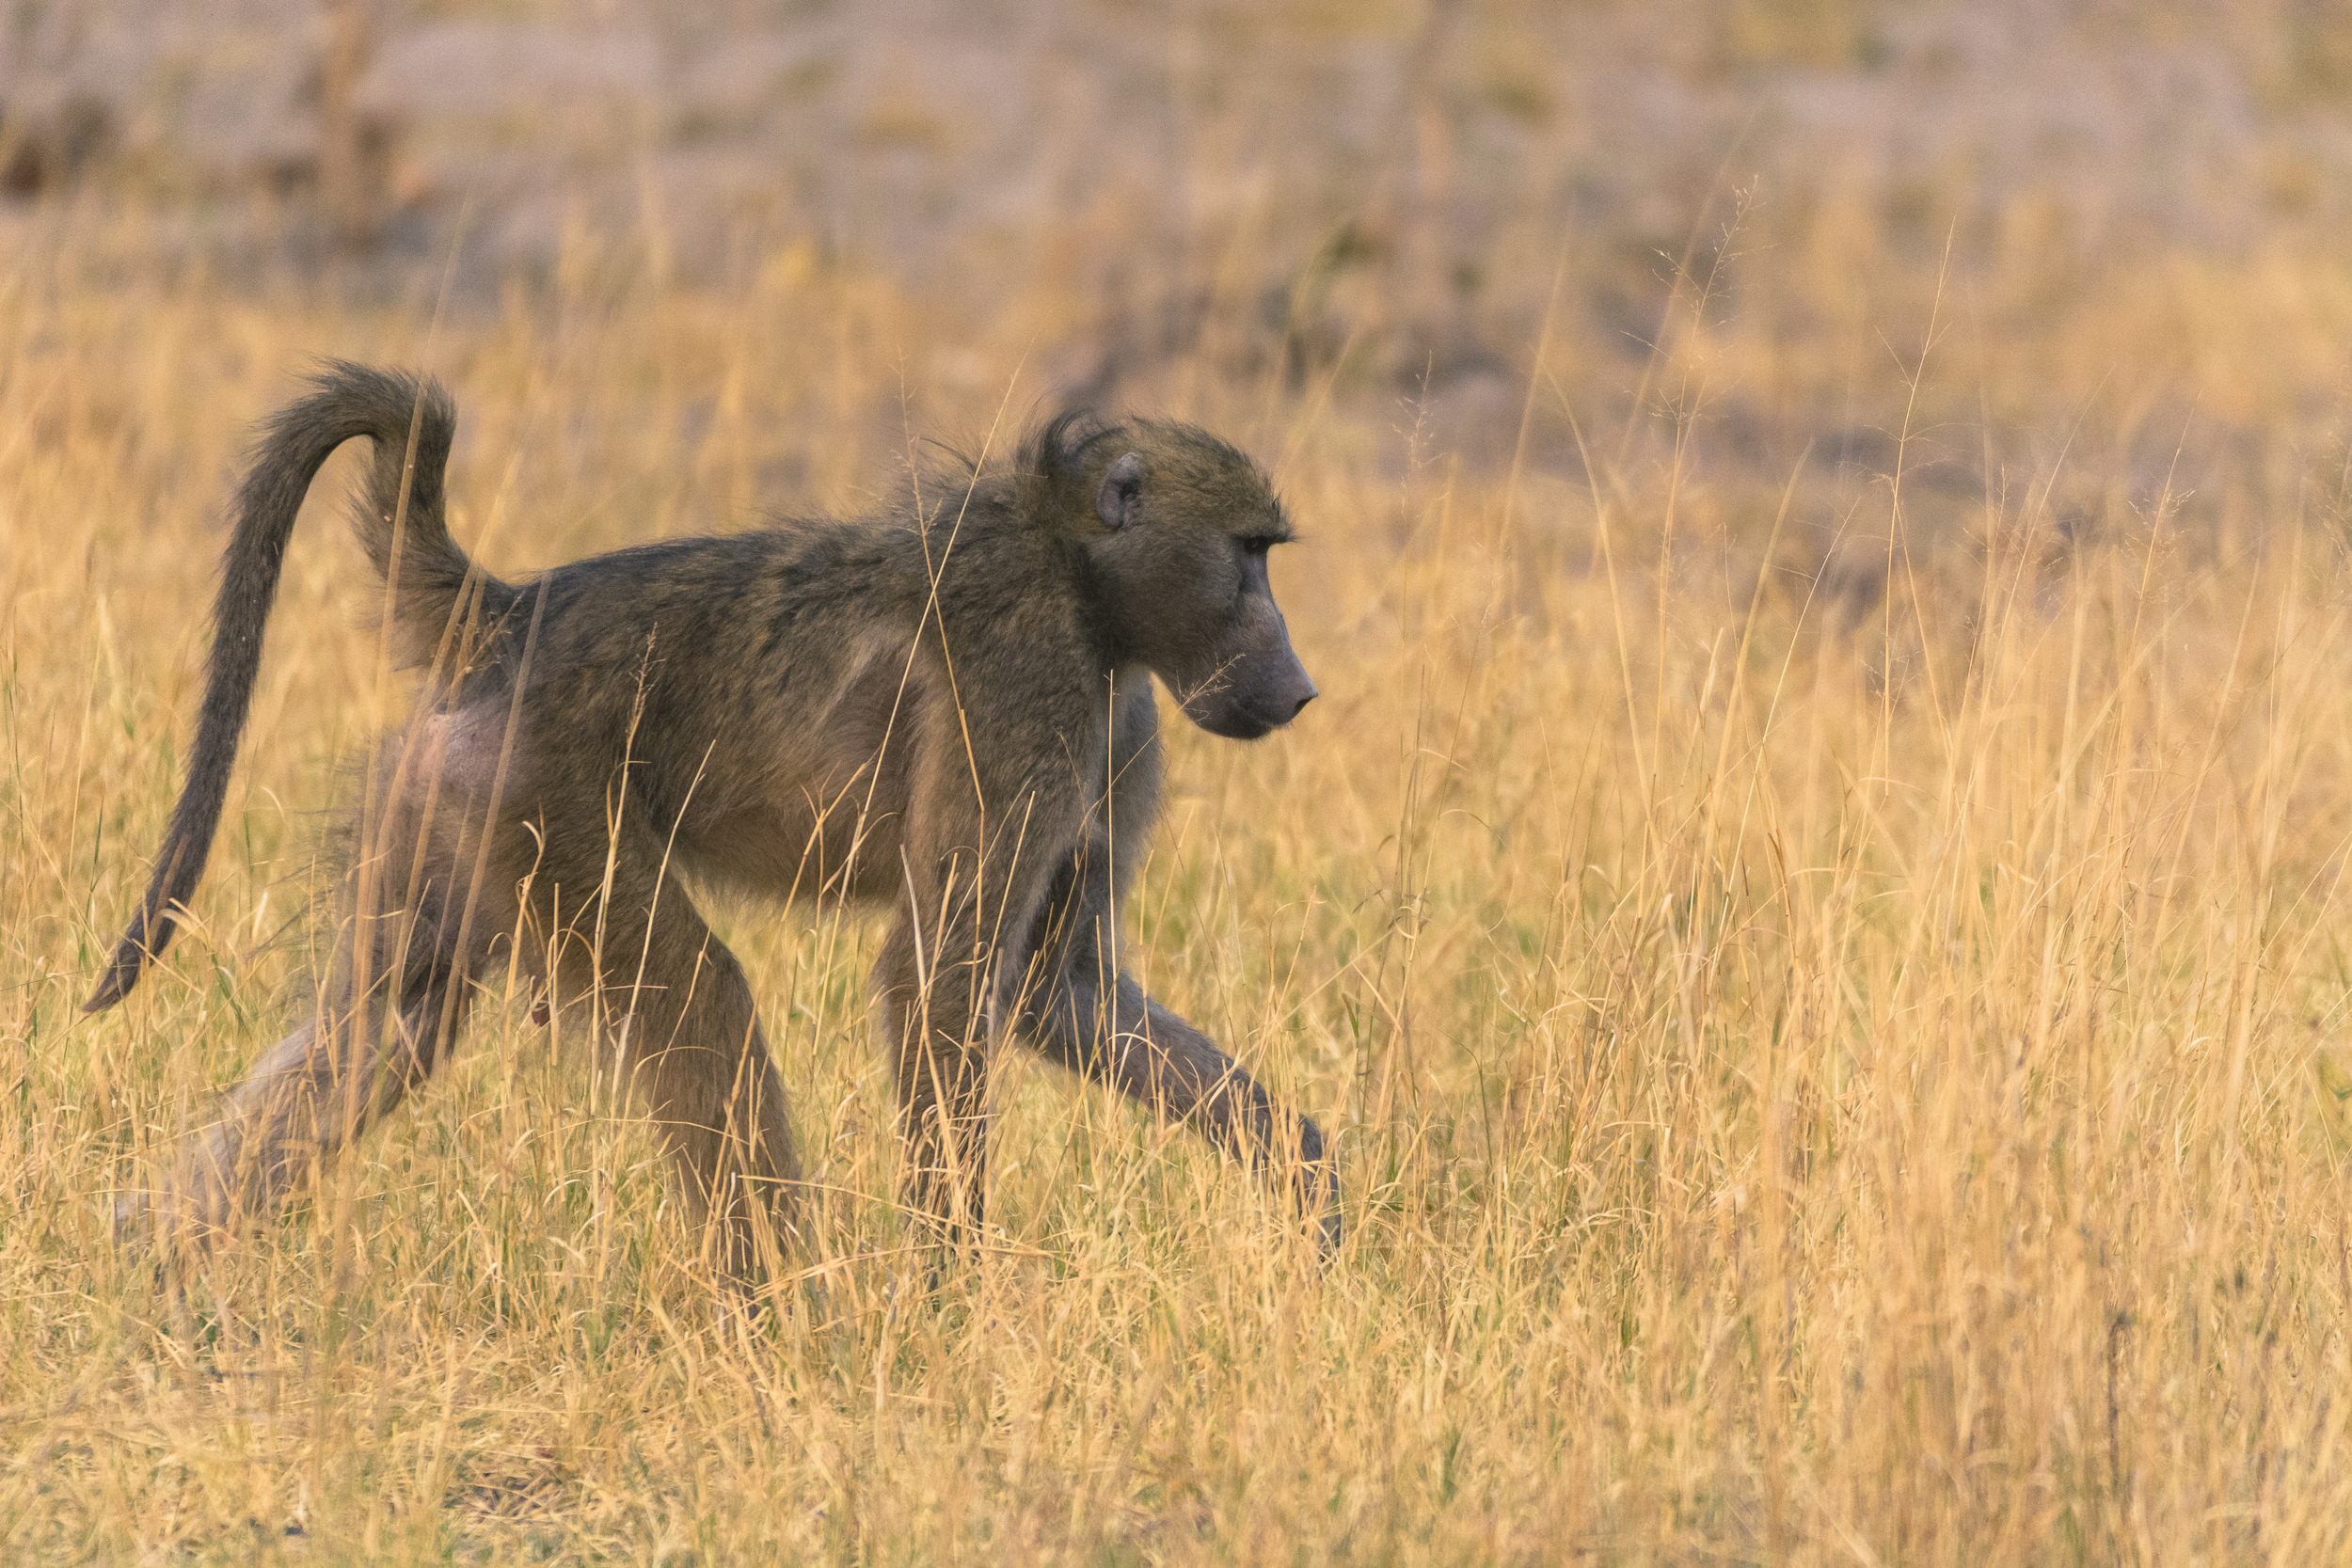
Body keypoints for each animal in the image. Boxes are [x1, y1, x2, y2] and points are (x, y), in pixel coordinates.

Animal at [87, 362, 1339, 1281]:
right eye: (1249, 554)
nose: (1299, 686)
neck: (1078, 578)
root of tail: (517, 610)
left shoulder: (1117, 728)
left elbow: (1048, 987)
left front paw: (1313, 1185)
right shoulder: (1029, 687)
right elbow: (936, 976)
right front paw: (950, 1294)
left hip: (451, 793)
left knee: (391, 1022)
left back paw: (144, 1258)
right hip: (546, 799)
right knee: (702, 1007)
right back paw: (790, 1312)